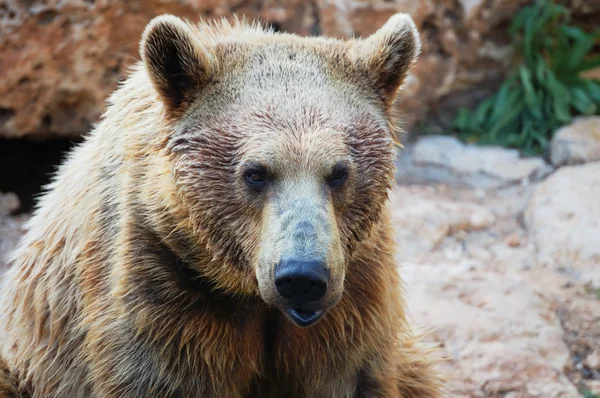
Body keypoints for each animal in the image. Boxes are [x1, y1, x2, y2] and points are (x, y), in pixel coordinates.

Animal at [0, 13, 440, 398]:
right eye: (256, 173)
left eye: (339, 172)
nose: (302, 276)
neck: (244, 289)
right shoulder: (156, 279)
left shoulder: (357, 294)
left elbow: (351, 375)